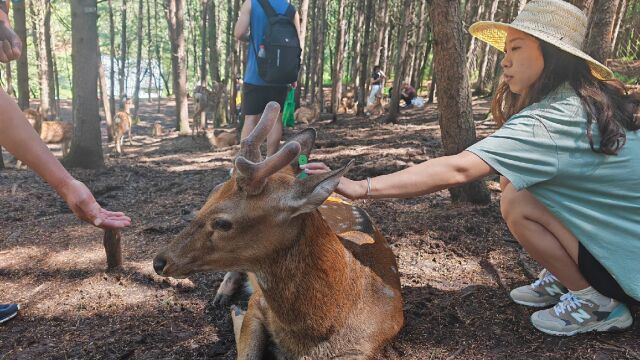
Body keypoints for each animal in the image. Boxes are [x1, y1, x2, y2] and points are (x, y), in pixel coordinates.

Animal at [154, 102, 404, 360]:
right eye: (212, 192)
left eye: (223, 223)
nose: (159, 262)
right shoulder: (257, 302)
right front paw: (236, 313)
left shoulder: (364, 349)